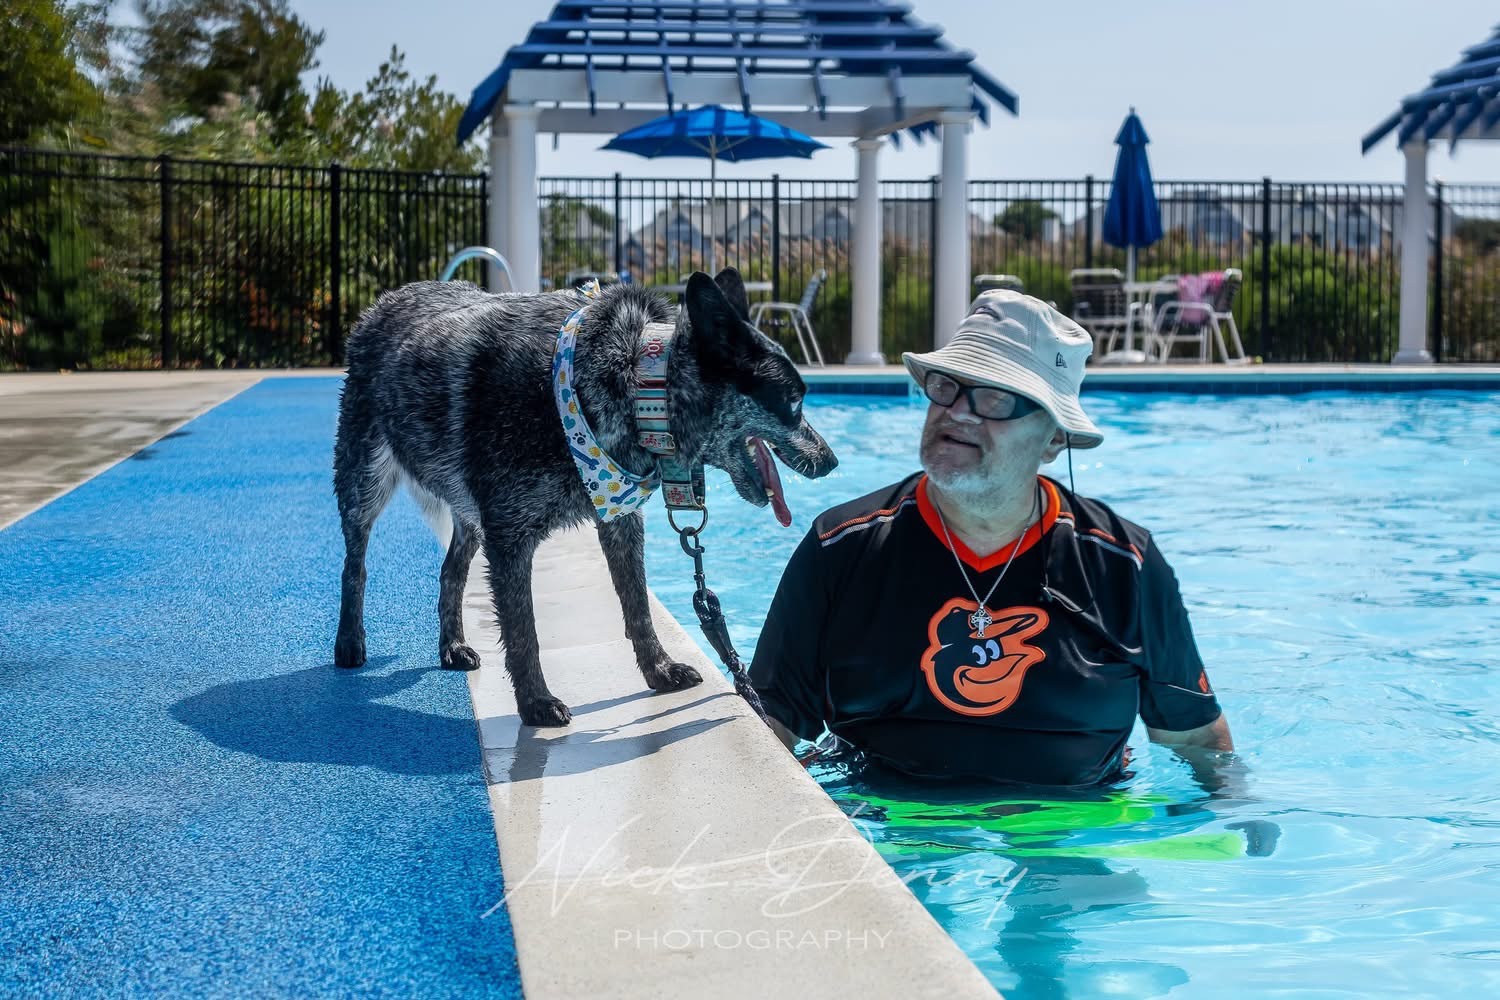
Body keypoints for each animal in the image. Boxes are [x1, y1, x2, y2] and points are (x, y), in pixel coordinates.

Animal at [332, 268, 839, 726]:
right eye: (794, 401)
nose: (831, 461)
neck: (633, 376)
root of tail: (388, 299)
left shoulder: (618, 521)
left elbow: (637, 607)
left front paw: (658, 670)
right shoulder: (509, 537)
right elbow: (523, 630)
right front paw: (535, 703)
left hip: (468, 513)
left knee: (450, 571)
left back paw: (452, 646)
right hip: (364, 481)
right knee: (355, 564)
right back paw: (349, 642)